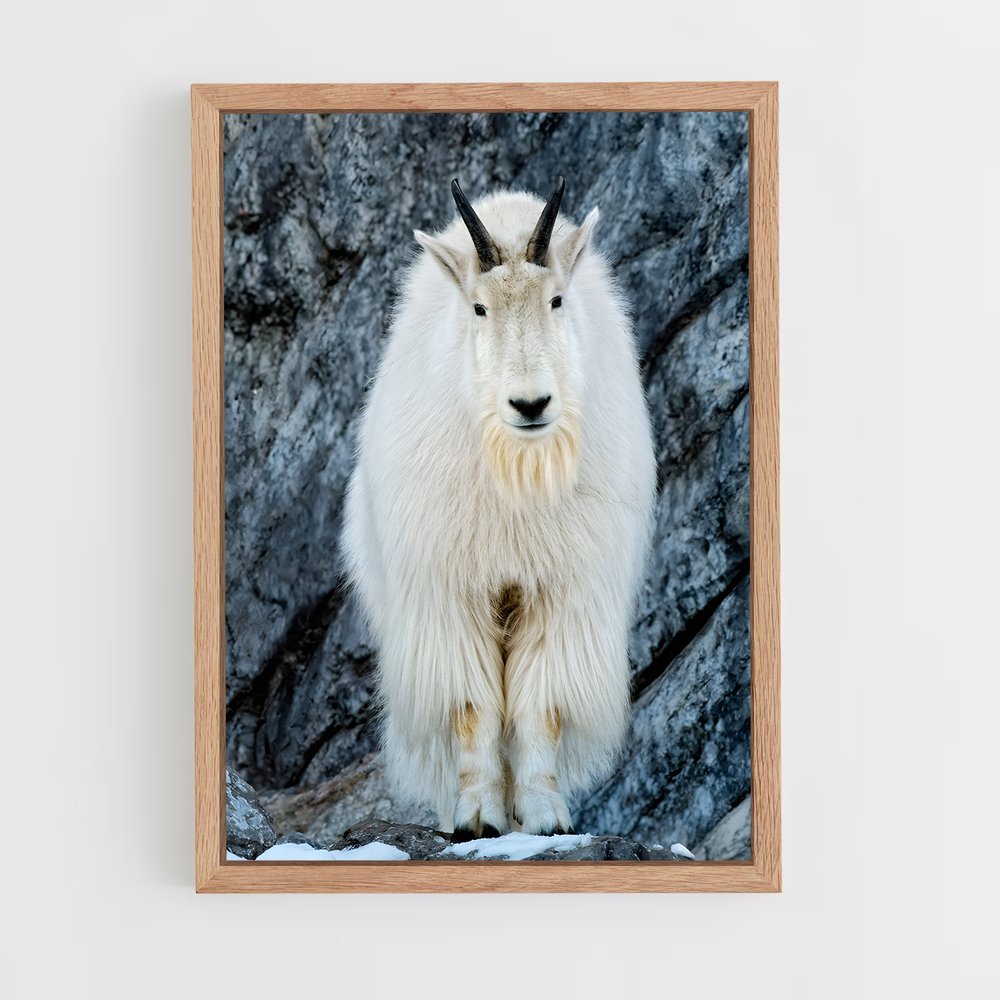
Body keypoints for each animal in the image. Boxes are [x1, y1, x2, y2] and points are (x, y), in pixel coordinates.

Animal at [341, 177, 655, 839]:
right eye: (479, 309)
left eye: (556, 300)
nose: (530, 404)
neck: (518, 472)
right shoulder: (450, 591)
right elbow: (471, 706)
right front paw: (477, 818)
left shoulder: (561, 589)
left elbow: (541, 707)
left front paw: (544, 818)